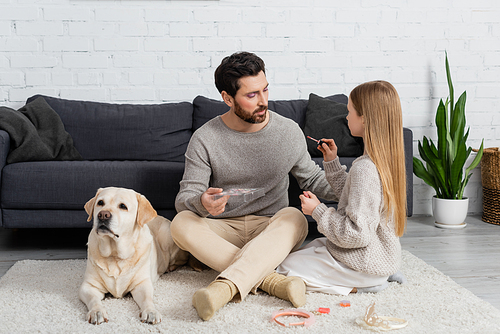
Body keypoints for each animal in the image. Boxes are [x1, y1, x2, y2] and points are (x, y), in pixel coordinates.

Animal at [79, 187, 190, 324]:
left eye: (123, 206)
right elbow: (93, 300)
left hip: (168, 236)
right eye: (100, 203)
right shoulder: (88, 286)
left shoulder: (142, 284)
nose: (103, 215)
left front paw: (150, 312)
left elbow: (147, 299)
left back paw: (170, 267)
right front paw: (97, 312)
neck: (115, 255)